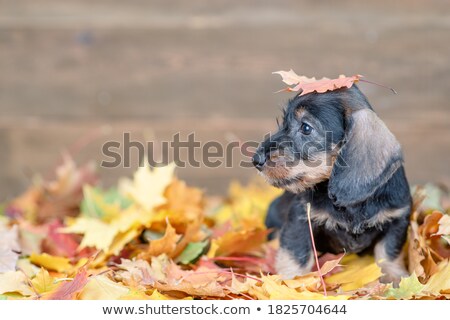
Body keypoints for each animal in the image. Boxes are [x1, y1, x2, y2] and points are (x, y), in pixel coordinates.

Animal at [253, 85, 412, 282]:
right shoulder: (300, 220)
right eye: (284, 122)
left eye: (306, 128)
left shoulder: (397, 220)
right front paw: (291, 281)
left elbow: (388, 253)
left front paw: (394, 278)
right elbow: (296, 255)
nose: (256, 159)